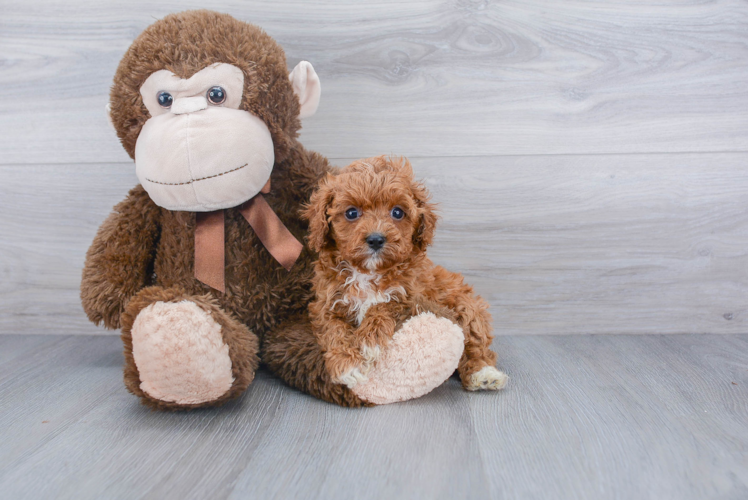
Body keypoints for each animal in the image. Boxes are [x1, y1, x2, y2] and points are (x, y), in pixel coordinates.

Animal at [304, 155, 508, 390]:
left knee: (476, 341)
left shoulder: (411, 297)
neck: (368, 272)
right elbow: (334, 330)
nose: (376, 239)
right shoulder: (326, 304)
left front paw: (368, 341)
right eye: (351, 213)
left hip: (466, 305)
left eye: (397, 212)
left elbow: (383, 305)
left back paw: (483, 373)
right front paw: (348, 365)